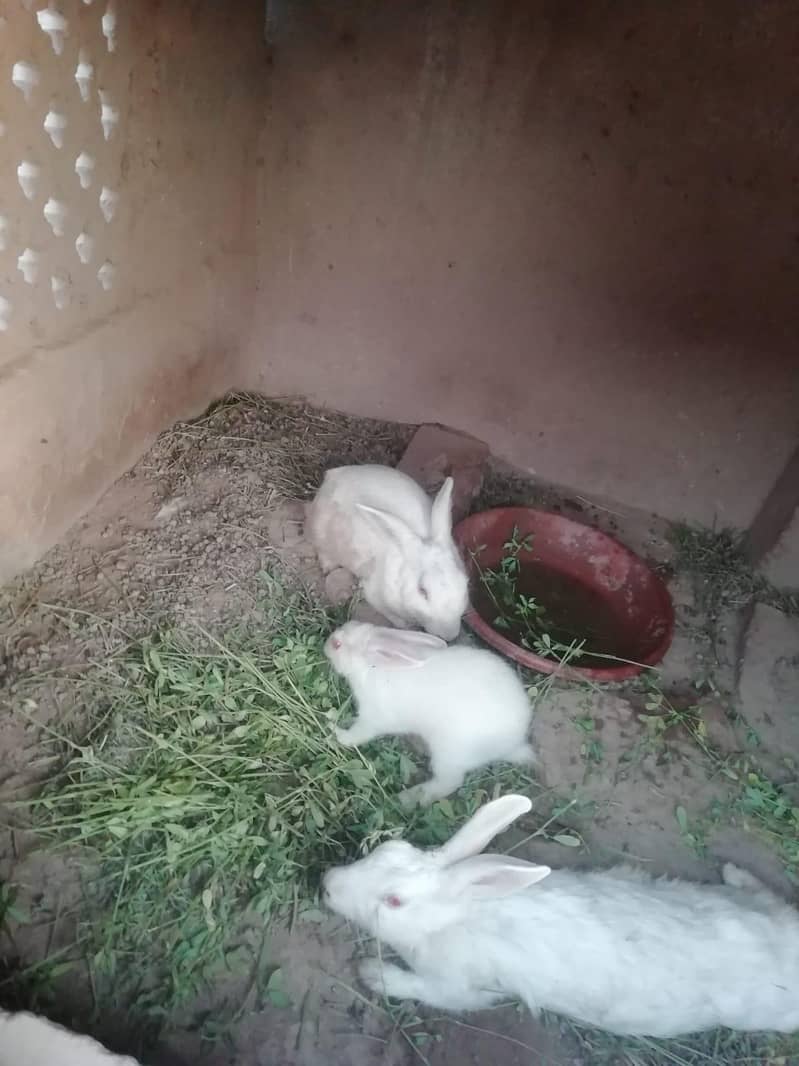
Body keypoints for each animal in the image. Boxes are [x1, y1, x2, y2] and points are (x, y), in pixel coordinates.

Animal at [308, 464, 468, 641]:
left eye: (464, 583)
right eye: (422, 591)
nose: (449, 635)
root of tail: (333, 475)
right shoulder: (375, 596)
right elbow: (396, 619)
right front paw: (407, 627)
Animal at [323, 793, 799, 1037]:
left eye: (394, 901)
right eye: (388, 850)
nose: (327, 883)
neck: (455, 918)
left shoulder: (462, 986)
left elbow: (430, 991)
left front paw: (373, 974)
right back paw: (735, 873)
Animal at [324, 621, 535, 807]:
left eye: (337, 645)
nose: (326, 644)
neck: (370, 667)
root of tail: (514, 744)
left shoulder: (373, 719)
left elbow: (356, 735)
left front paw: (336, 732)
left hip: (448, 755)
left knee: (449, 783)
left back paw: (408, 798)